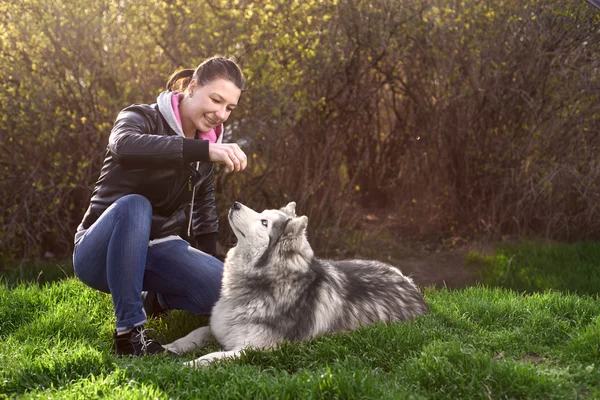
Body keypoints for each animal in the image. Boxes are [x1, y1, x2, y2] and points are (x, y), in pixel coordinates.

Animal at [164, 202, 426, 368]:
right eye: (262, 213)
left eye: (263, 222)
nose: (235, 204)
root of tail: (410, 284)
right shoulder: (219, 327)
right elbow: (197, 332)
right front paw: (170, 347)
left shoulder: (257, 349)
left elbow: (213, 356)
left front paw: (189, 364)